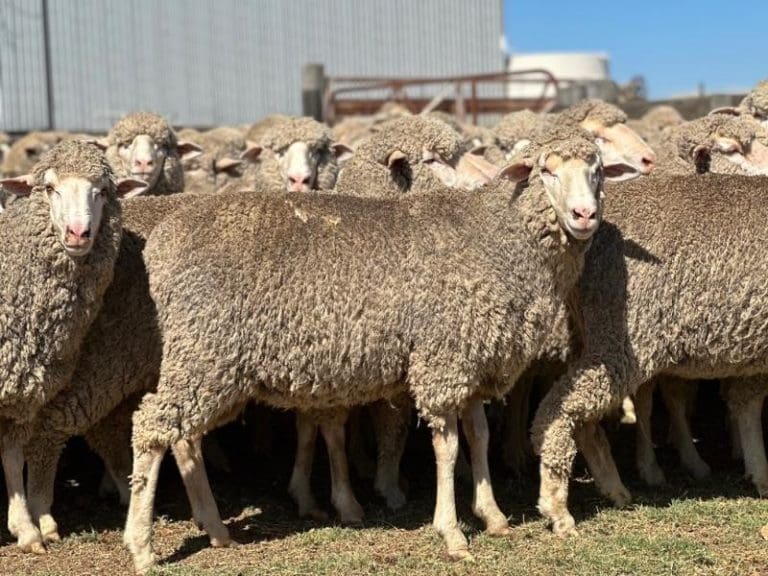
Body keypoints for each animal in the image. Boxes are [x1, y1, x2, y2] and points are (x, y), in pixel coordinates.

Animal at [0, 139, 143, 552]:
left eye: (103, 191)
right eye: (49, 188)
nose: (78, 233)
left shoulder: (23, 390)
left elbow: (12, 455)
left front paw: (26, 529)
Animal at [122, 129, 611, 572]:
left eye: (598, 170)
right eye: (546, 171)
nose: (584, 214)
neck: (494, 240)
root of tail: (162, 244)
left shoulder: (472, 362)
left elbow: (480, 438)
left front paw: (493, 516)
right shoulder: (442, 361)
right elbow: (449, 448)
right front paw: (452, 533)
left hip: (206, 361)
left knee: (184, 438)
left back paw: (215, 528)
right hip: (206, 352)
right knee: (150, 428)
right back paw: (142, 545)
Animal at [531, 173, 768, 537]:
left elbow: (747, 404)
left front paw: (759, 473)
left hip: (590, 335)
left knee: (582, 418)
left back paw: (613, 488)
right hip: (622, 340)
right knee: (558, 411)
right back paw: (557, 507)